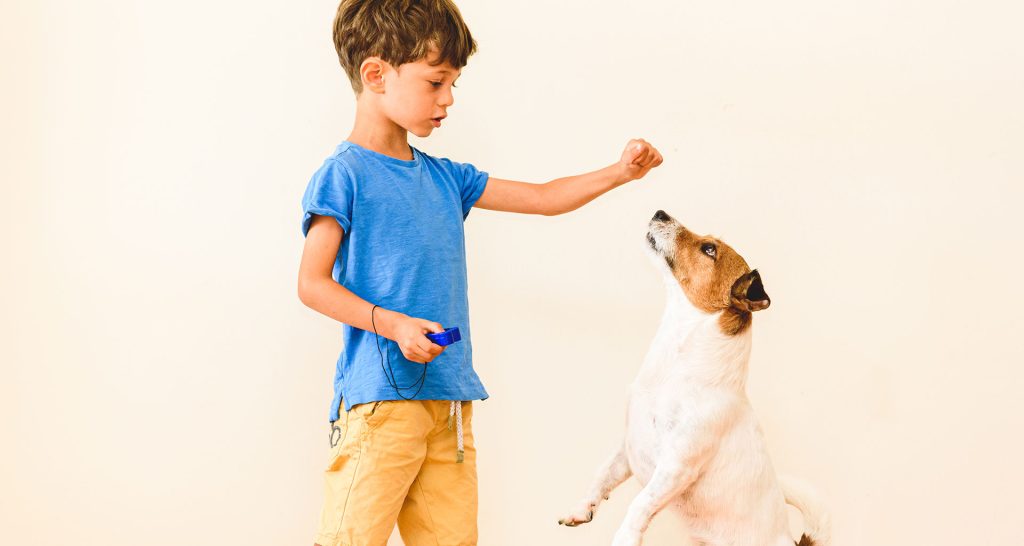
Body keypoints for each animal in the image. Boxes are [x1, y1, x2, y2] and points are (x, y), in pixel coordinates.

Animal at [558, 210, 829, 546]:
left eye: (709, 250)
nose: (660, 212)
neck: (674, 368)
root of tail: (792, 542)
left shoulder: (676, 467)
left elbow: (640, 503)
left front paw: (624, 537)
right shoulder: (628, 447)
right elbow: (601, 474)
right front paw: (581, 509)